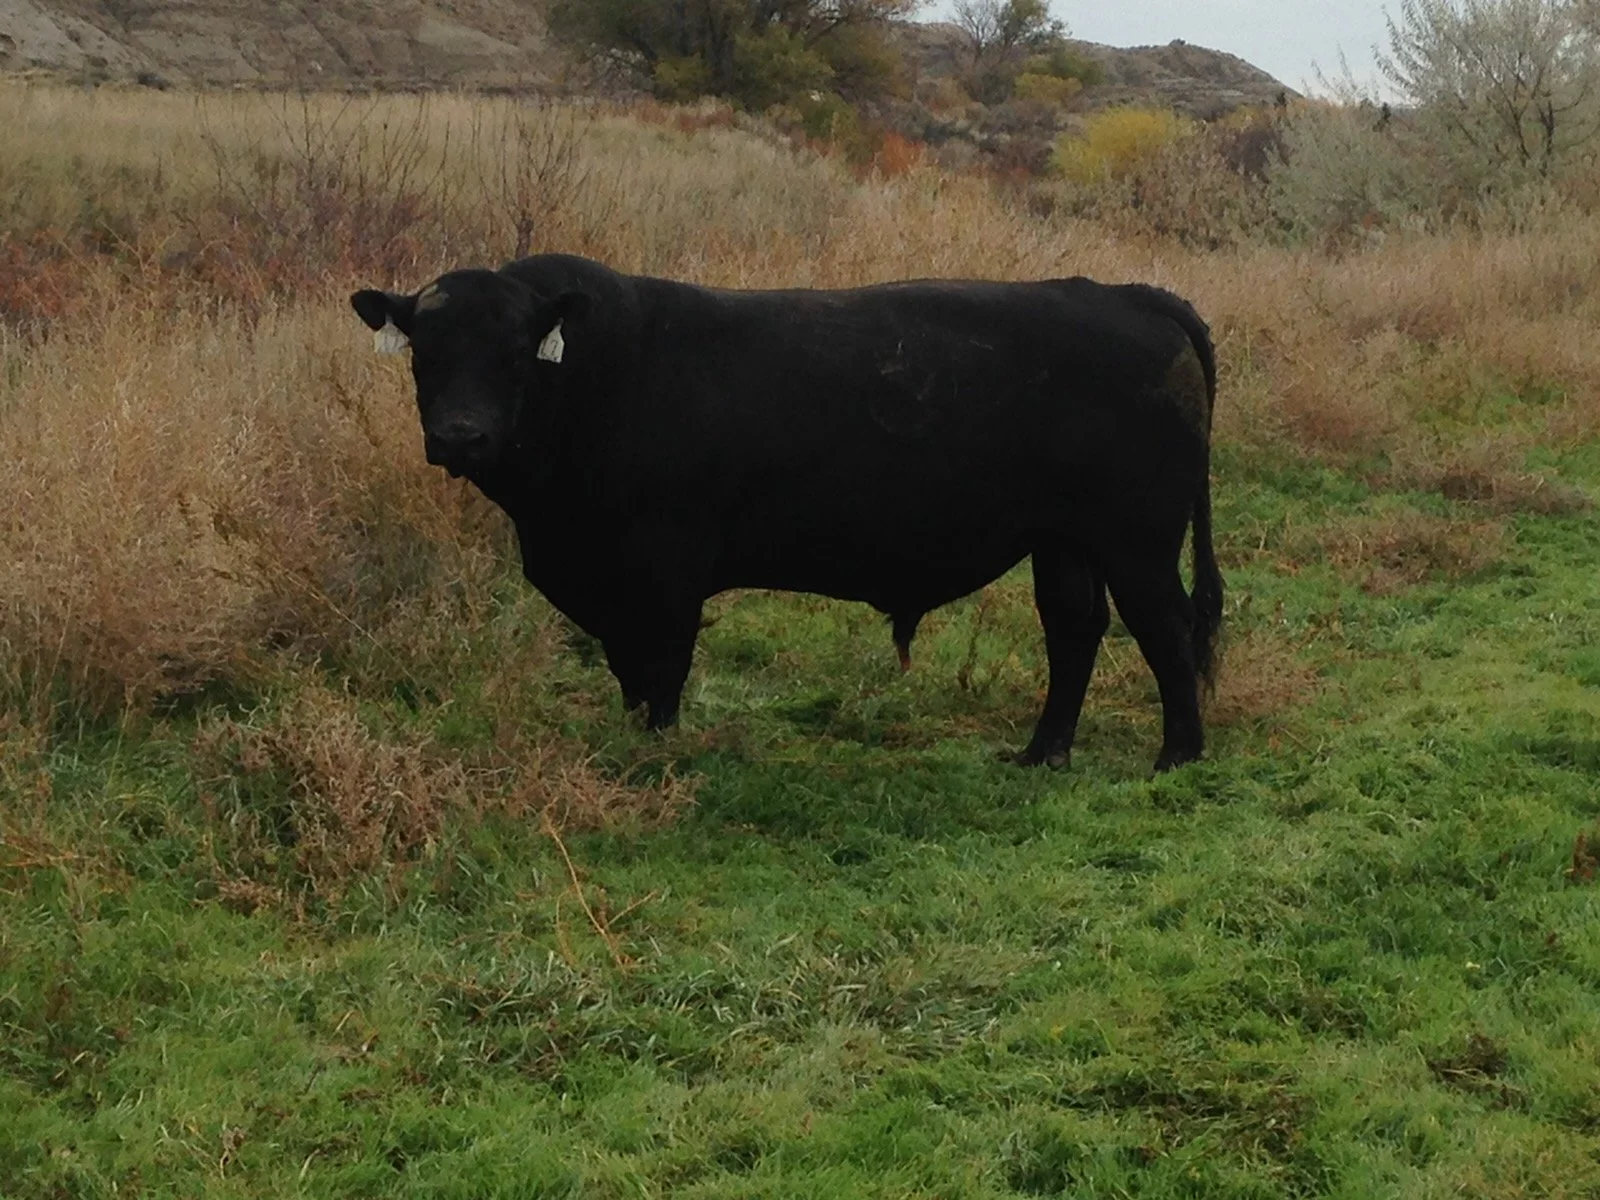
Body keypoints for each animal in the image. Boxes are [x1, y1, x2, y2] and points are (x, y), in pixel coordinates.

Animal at [351, 253, 1223, 773]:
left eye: (514, 353)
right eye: (425, 351)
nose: (462, 434)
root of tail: (1124, 294)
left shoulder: (666, 571)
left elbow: (660, 672)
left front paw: (657, 760)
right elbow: (629, 673)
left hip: (1138, 540)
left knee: (1167, 627)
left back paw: (1176, 758)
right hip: (1064, 538)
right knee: (1075, 627)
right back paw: (1041, 755)